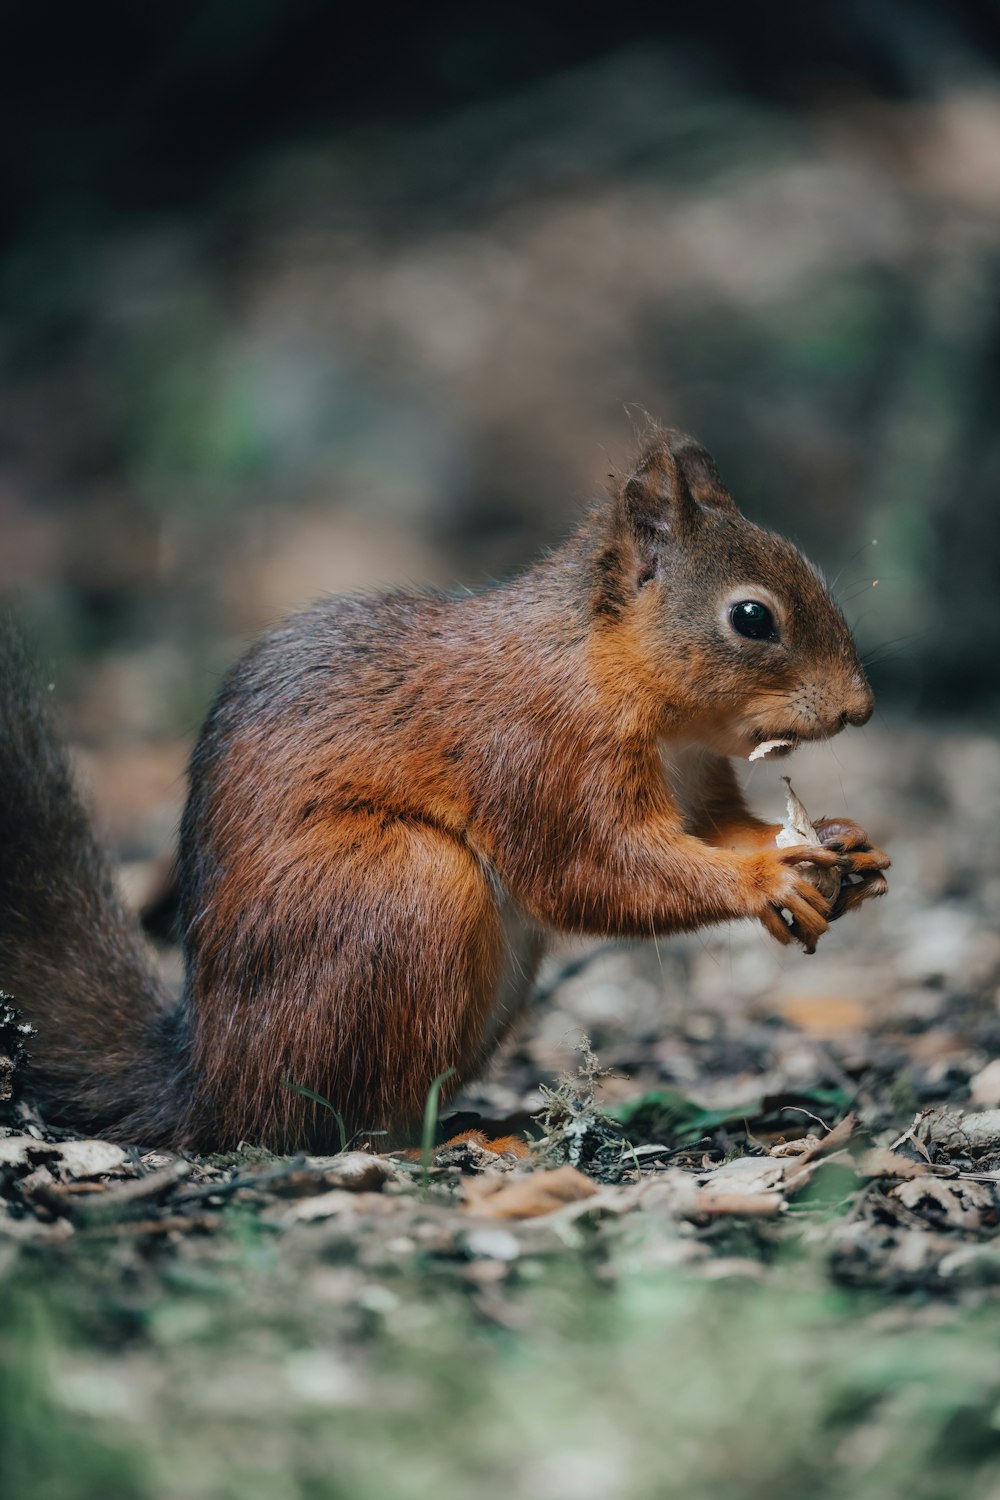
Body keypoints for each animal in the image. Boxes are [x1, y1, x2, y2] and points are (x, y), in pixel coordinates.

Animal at [0, 429, 893, 1152]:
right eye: (752, 618)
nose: (861, 709)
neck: (613, 673)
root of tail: (209, 1083)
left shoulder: (696, 782)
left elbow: (715, 830)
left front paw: (841, 843)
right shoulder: (540, 753)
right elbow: (592, 871)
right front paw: (767, 877)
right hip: (406, 890)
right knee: (326, 1124)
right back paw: (443, 1140)